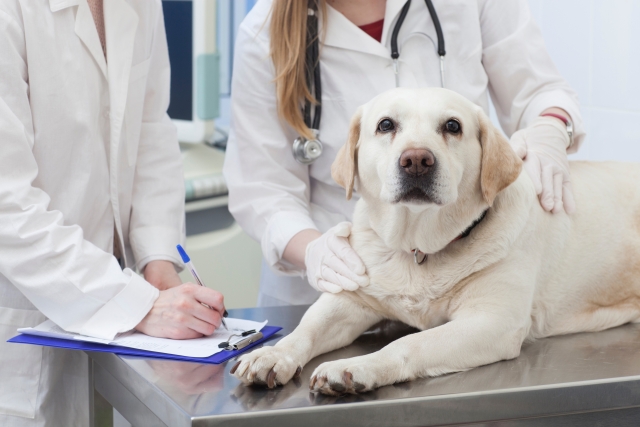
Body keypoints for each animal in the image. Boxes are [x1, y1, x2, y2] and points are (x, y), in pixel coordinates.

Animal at [232, 88, 640, 398]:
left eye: (452, 126)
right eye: (385, 125)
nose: (416, 160)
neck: (419, 250)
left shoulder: (493, 322)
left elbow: (408, 344)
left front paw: (356, 367)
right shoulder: (350, 299)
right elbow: (306, 329)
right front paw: (271, 355)